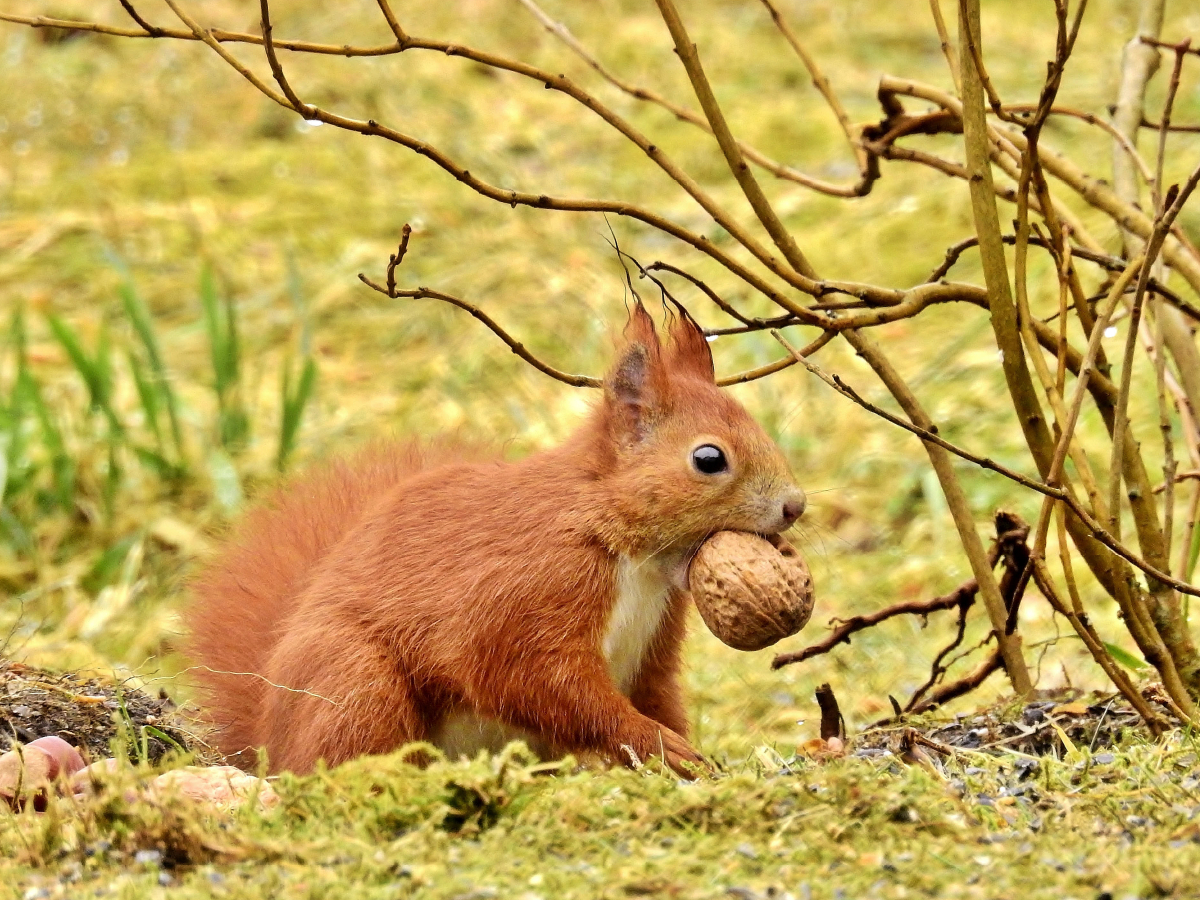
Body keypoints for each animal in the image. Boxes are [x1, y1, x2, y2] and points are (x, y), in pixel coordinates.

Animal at [184, 303, 806, 777]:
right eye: (709, 459)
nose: (795, 506)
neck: (635, 556)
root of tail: (270, 742)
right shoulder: (530, 590)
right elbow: (536, 678)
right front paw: (654, 743)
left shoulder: (654, 644)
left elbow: (658, 695)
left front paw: (691, 756)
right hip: (355, 681)